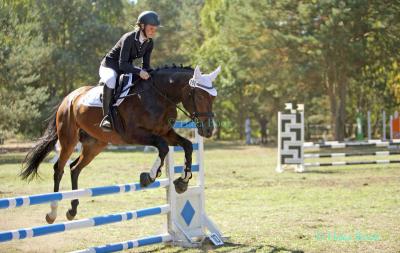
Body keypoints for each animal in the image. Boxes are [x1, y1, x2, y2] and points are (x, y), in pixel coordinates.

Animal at [20, 64, 220, 223]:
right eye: (199, 97)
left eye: (213, 98)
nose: (208, 130)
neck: (158, 96)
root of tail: (68, 98)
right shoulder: (134, 134)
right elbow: (162, 147)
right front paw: (149, 176)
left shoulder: (166, 132)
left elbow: (187, 146)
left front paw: (182, 181)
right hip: (69, 139)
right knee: (59, 169)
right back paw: (52, 213)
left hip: (95, 145)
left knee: (74, 168)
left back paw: (72, 209)